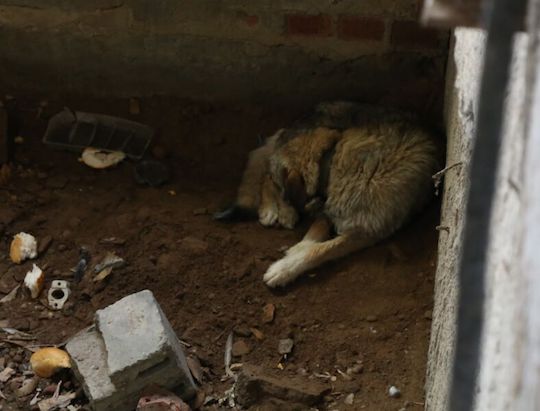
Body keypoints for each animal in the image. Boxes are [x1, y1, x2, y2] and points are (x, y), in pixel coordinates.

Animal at [214, 102, 441, 287]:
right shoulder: (332, 206)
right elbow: (315, 232)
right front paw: (295, 251)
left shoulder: (364, 232)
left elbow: (321, 249)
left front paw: (287, 265)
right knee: (264, 173)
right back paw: (273, 210)